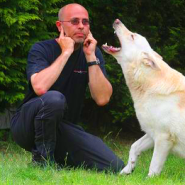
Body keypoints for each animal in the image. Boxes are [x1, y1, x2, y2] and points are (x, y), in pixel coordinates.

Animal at [102, 19, 185, 177]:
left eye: (132, 36)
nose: (117, 20)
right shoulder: (151, 133)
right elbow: (134, 147)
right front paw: (127, 170)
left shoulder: (163, 137)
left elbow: (154, 166)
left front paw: (149, 179)